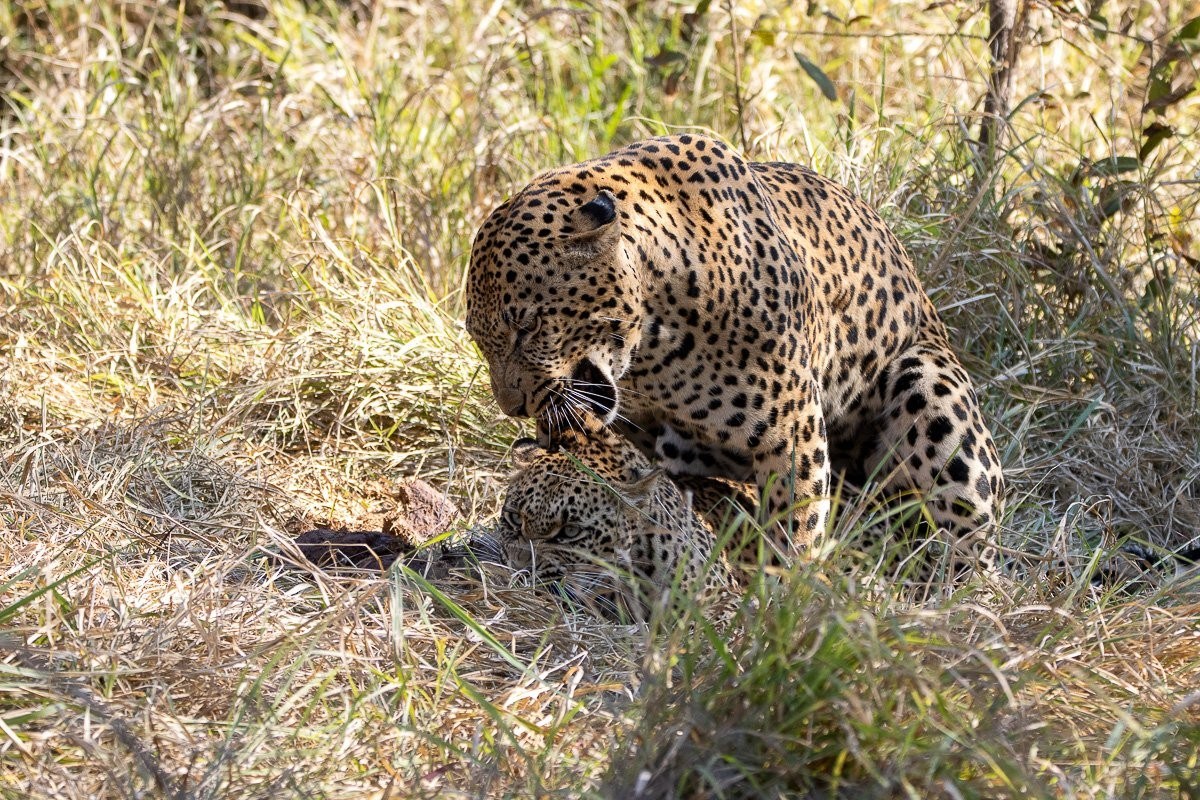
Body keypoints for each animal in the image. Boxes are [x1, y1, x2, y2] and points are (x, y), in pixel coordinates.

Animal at [466, 133, 1005, 572]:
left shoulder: (793, 428)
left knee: (973, 551)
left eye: (527, 326)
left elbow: (796, 523)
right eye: (478, 338)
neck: (653, 353)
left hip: (928, 385)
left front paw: (781, 604)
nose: (513, 408)